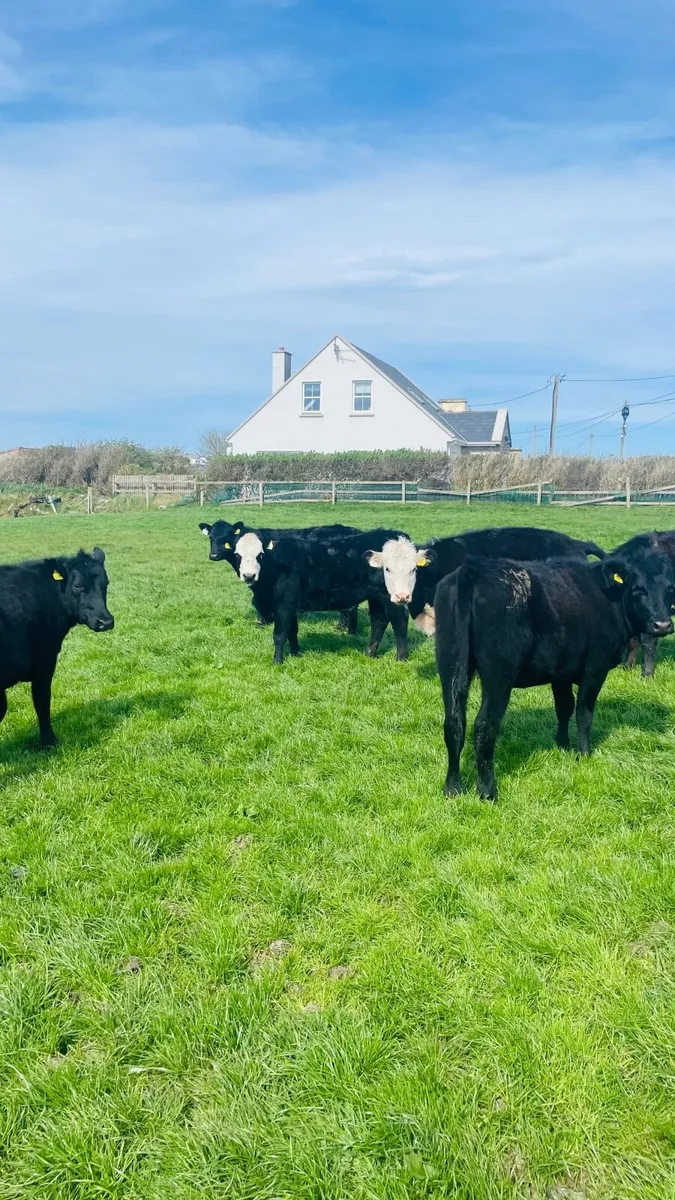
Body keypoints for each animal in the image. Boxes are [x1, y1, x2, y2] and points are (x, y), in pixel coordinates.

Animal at [0, 548, 114, 749]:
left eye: (105, 582)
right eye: (77, 586)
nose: (106, 622)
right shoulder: (44, 662)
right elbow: (42, 703)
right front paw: (48, 742)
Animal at [231, 528, 427, 663]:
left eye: (260, 554)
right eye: (237, 555)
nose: (249, 575)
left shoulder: (284, 606)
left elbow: (279, 635)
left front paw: (277, 661)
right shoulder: (291, 605)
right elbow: (292, 631)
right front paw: (295, 654)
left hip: (394, 596)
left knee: (399, 621)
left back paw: (401, 657)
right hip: (376, 597)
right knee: (379, 621)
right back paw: (370, 653)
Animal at [434, 552, 674, 801]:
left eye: (670, 589)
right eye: (638, 589)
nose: (662, 625)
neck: (610, 600)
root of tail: (474, 568)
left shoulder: (561, 672)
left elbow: (564, 707)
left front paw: (562, 745)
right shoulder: (595, 668)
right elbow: (583, 714)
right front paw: (584, 754)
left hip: (450, 663)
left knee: (454, 722)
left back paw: (452, 788)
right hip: (498, 675)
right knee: (484, 726)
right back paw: (487, 792)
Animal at [612, 531, 675, 677]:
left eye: (671, 588)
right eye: (638, 589)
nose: (663, 625)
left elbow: (648, 643)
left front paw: (647, 673)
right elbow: (633, 641)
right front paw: (628, 666)